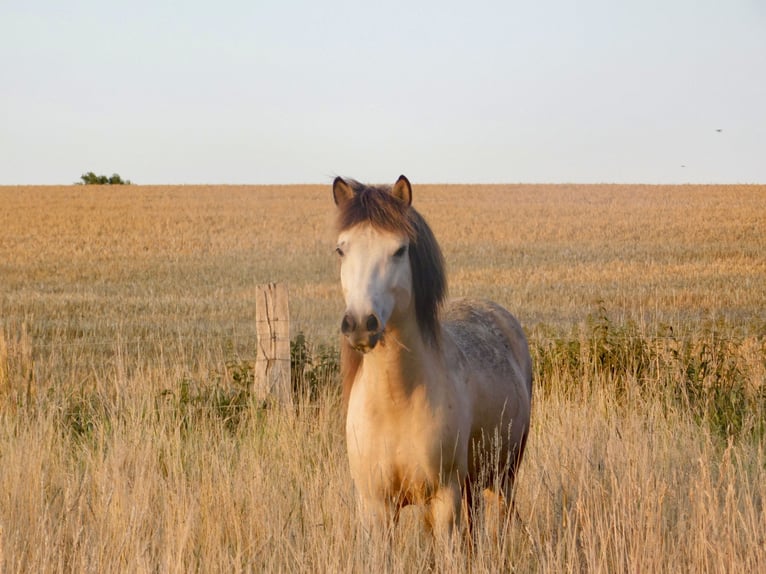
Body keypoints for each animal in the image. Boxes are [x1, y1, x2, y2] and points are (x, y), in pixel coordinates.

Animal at [332, 177, 536, 544]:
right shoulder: (375, 508)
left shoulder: (444, 499)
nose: (360, 323)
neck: (395, 401)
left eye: (399, 250)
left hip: (503, 477)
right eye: (342, 249)